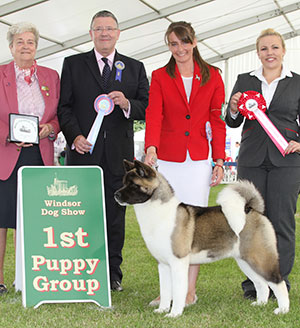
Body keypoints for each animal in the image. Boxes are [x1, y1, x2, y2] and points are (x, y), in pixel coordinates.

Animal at [113, 160, 290, 316]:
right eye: (123, 182)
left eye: (134, 184)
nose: (116, 194)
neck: (159, 211)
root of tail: (252, 209)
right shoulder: (163, 265)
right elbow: (165, 291)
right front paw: (162, 310)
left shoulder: (178, 262)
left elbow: (178, 291)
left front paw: (174, 314)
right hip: (245, 260)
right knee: (262, 284)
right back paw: (260, 304)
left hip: (260, 258)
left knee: (278, 283)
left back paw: (282, 310)